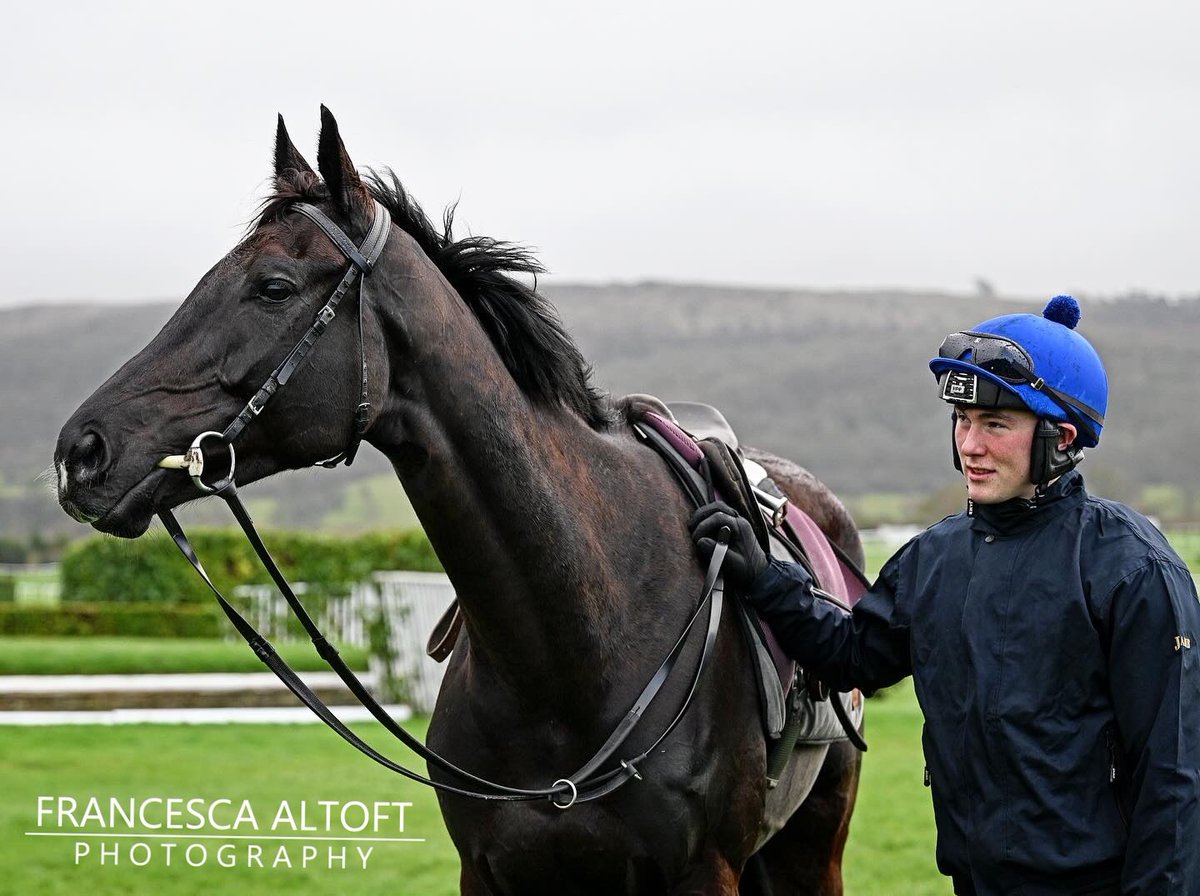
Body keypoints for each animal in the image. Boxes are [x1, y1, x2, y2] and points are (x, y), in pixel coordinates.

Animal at [54, 108, 864, 892]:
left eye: (273, 287)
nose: (81, 452)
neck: (579, 642)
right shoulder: (489, 871)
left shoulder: (706, 872)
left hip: (813, 846)